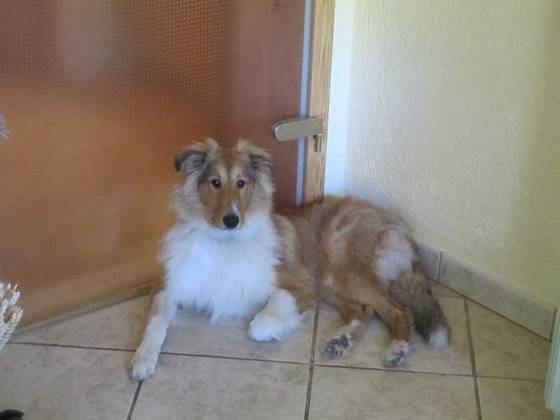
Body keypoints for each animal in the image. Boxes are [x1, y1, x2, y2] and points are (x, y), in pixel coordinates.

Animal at [130, 138, 450, 380]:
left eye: (242, 183)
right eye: (215, 182)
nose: (231, 220)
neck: (225, 242)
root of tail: (394, 222)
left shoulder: (297, 286)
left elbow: (259, 325)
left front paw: (274, 328)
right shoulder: (169, 285)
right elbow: (155, 323)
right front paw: (142, 360)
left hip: (344, 272)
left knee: (398, 310)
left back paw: (396, 351)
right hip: (332, 283)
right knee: (364, 310)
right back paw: (340, 341)